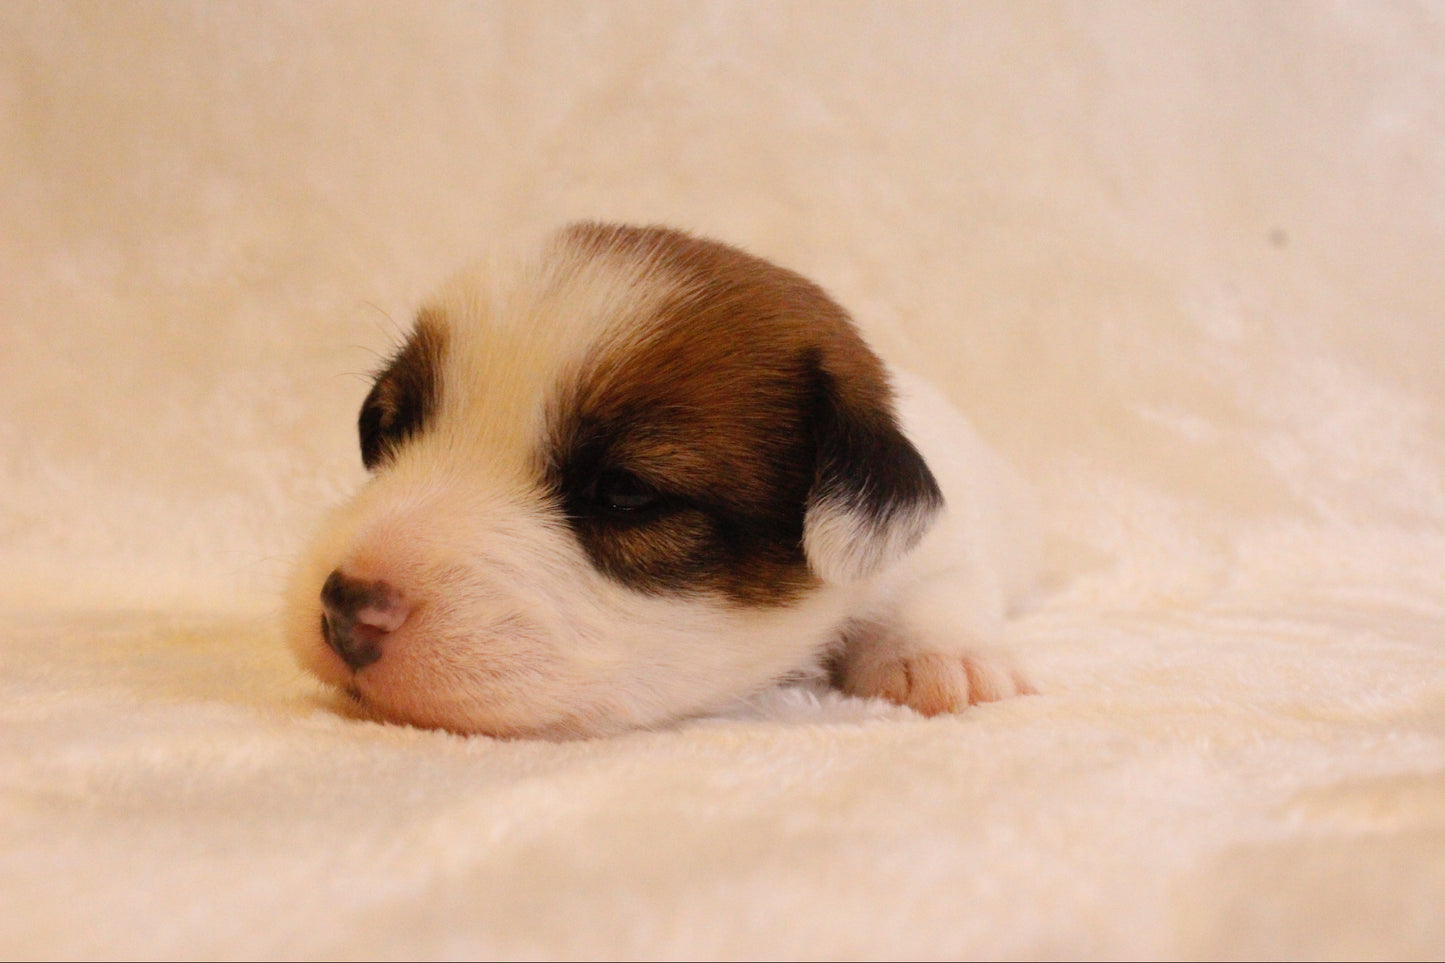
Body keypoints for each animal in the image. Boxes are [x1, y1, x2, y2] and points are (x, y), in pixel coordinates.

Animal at [281, 222, 1034, 734]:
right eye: (388, 430)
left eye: (624, 493)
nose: (344, 605)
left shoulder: (944, 544)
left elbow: (939, 589)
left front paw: (942, 660)